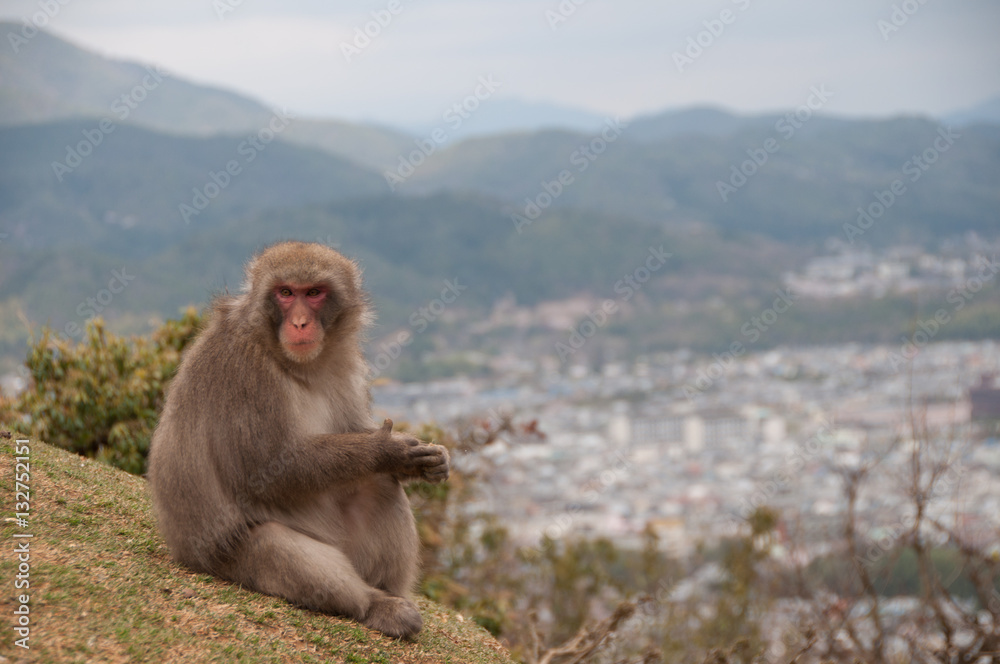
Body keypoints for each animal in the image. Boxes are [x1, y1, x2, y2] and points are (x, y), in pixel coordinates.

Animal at [148, 241, 449, 639]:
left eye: (314, 293)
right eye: (286, 293)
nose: (300, 322)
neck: (296, 363)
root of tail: (182, 552)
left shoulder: (347, 364)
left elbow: (354, 430)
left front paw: (427, 459)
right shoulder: (246, 370)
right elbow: (265, 470)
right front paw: (386, 449)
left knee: (380, 486)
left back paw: (389, 592)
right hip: (225, 557)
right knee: (272, 544)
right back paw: (374, 606)